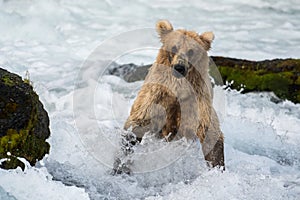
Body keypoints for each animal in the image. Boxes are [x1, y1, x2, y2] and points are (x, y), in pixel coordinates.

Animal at [123, 19, 224, 167]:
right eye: (174, 47)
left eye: (191, 51)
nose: (179, 67)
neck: (178, 89)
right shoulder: (157, 96)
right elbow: (137, 122)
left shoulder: (196, 102)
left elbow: (210, 133)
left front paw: (217, 166)